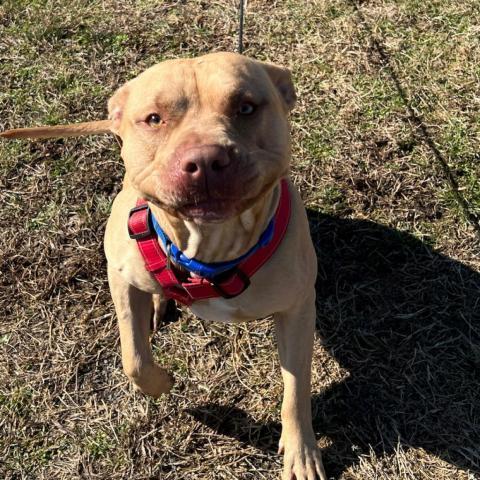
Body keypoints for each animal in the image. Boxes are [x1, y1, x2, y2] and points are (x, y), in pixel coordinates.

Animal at [0, 52, 326, 480]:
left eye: (246, 107)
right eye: (154, 119)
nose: (205, 160)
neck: (209, 251)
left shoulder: (298, 309)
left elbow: (296, 388)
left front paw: (301, 452)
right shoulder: (119, 273)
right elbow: (133, 358)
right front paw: (164, 383)